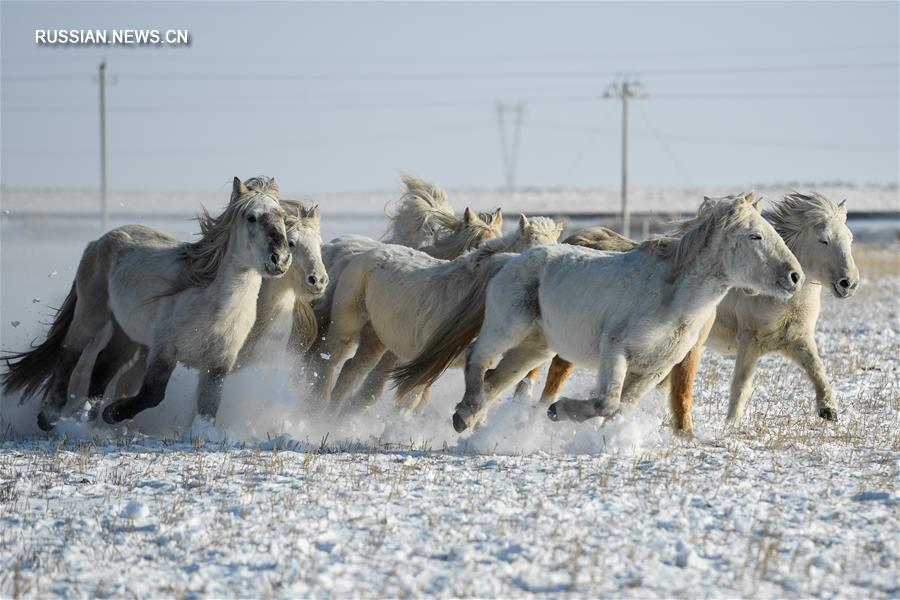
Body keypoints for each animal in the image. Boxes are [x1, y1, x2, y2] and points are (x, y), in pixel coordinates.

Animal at [1, 176, 292, 428]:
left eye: (282, 217)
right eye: (251, 217)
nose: (280, 259)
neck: (213, 304)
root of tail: (98, 241)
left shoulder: (219, 364)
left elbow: (209, 407)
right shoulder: (164, 350)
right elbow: (152, 394)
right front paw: (113, 412)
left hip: (126, 333)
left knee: (104, 366)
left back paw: (88, 421)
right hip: (91, 313)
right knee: (69, 352)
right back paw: (50, 417)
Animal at [324, 213, 564, 410]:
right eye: (533, 247)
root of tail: (363, 253)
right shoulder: (422, 361)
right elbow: (409, 400)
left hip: (377, 339)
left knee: (352, 371)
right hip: (347, 330)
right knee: (331, 363)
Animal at [392, 192, 800, 432]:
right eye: (755, 236)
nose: (795, 276)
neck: (672, 297)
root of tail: (510, 259)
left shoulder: (657, 368)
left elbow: (621, 408)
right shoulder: (615, 350)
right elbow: (607, 401)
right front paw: (558, 411)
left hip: (534, 349)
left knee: (498, 378)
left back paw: (469, 419)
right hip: (507, 329)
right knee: (478, 358)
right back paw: (467, 415)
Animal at [512, 190, 856, 428]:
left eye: (850, 238)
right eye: (824, 240)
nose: (848, 283)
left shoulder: (797, 339)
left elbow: (817, 370)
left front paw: (828, 410)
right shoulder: (750, 342)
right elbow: (739, 387)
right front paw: (729, 426)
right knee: (552, 372)